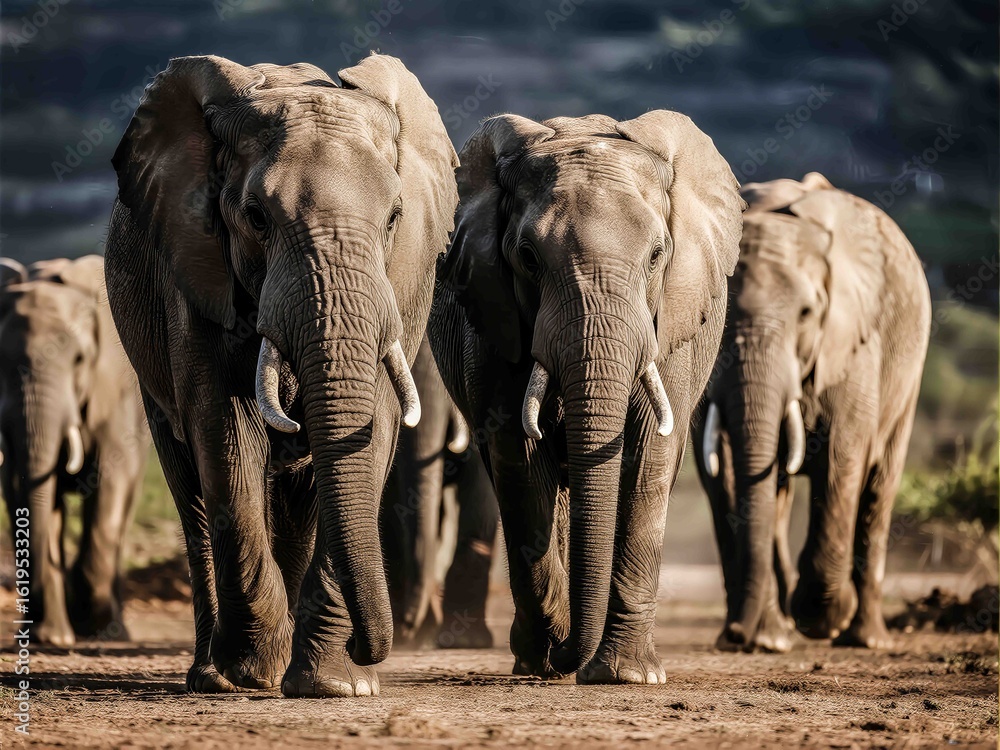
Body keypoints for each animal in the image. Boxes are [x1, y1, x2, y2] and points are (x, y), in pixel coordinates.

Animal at [0, 255, 148, 646]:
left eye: (80, 359)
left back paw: (115, 633)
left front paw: (94, 627)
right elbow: (21, 487)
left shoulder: (111, 389)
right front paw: (50, 638)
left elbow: (112, 477)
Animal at [103, 54, 458, 697]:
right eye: (255, 218)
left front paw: (337, 687)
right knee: (192, 490)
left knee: (297, 501)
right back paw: (215, 676)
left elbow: (376, 425)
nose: (372, 652)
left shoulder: (406, 278)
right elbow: (224, 429)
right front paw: (255, 670)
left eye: (395, 218)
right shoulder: (195, 267)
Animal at [428, 112, 745, 683]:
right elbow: (517, 457)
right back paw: (536, 655)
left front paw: (627, 676)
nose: (569, 656)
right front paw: (552, 651)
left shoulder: (672, 327)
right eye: (527, 258)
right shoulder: (492, 324)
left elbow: (649, 457)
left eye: (657, 255)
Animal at [692, 173, 931, 652]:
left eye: (806, 314)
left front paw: (822, 619)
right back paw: (775, 634)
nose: (734, 636)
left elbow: (843, 453)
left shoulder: (851, 341)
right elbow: (721, 467)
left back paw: (864, 639)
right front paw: (768, 638)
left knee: (880, 485)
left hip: (909, 373)